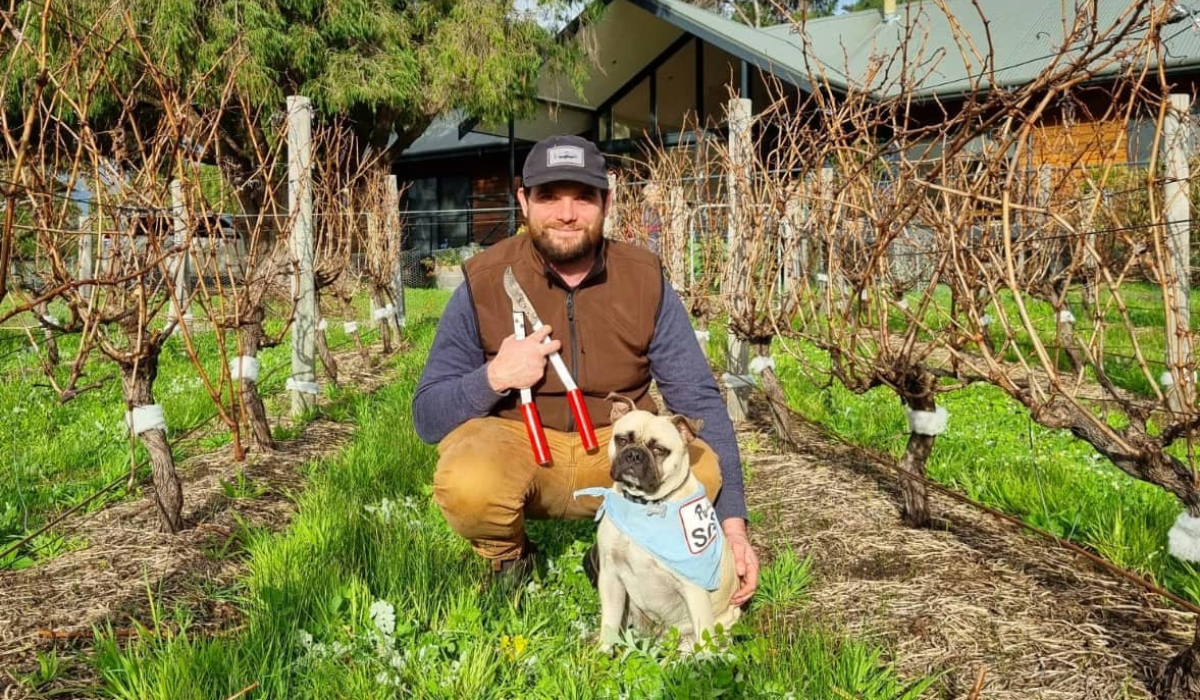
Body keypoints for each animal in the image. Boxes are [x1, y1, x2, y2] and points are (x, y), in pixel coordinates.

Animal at [573, 391, 734, 653]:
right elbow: (609, 623)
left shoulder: (694, 590)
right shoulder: (610, 577)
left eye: (659, 449)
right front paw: (603, 654)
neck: (643, 506)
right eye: (622, 440)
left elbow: (705, 638)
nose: (634, 454)